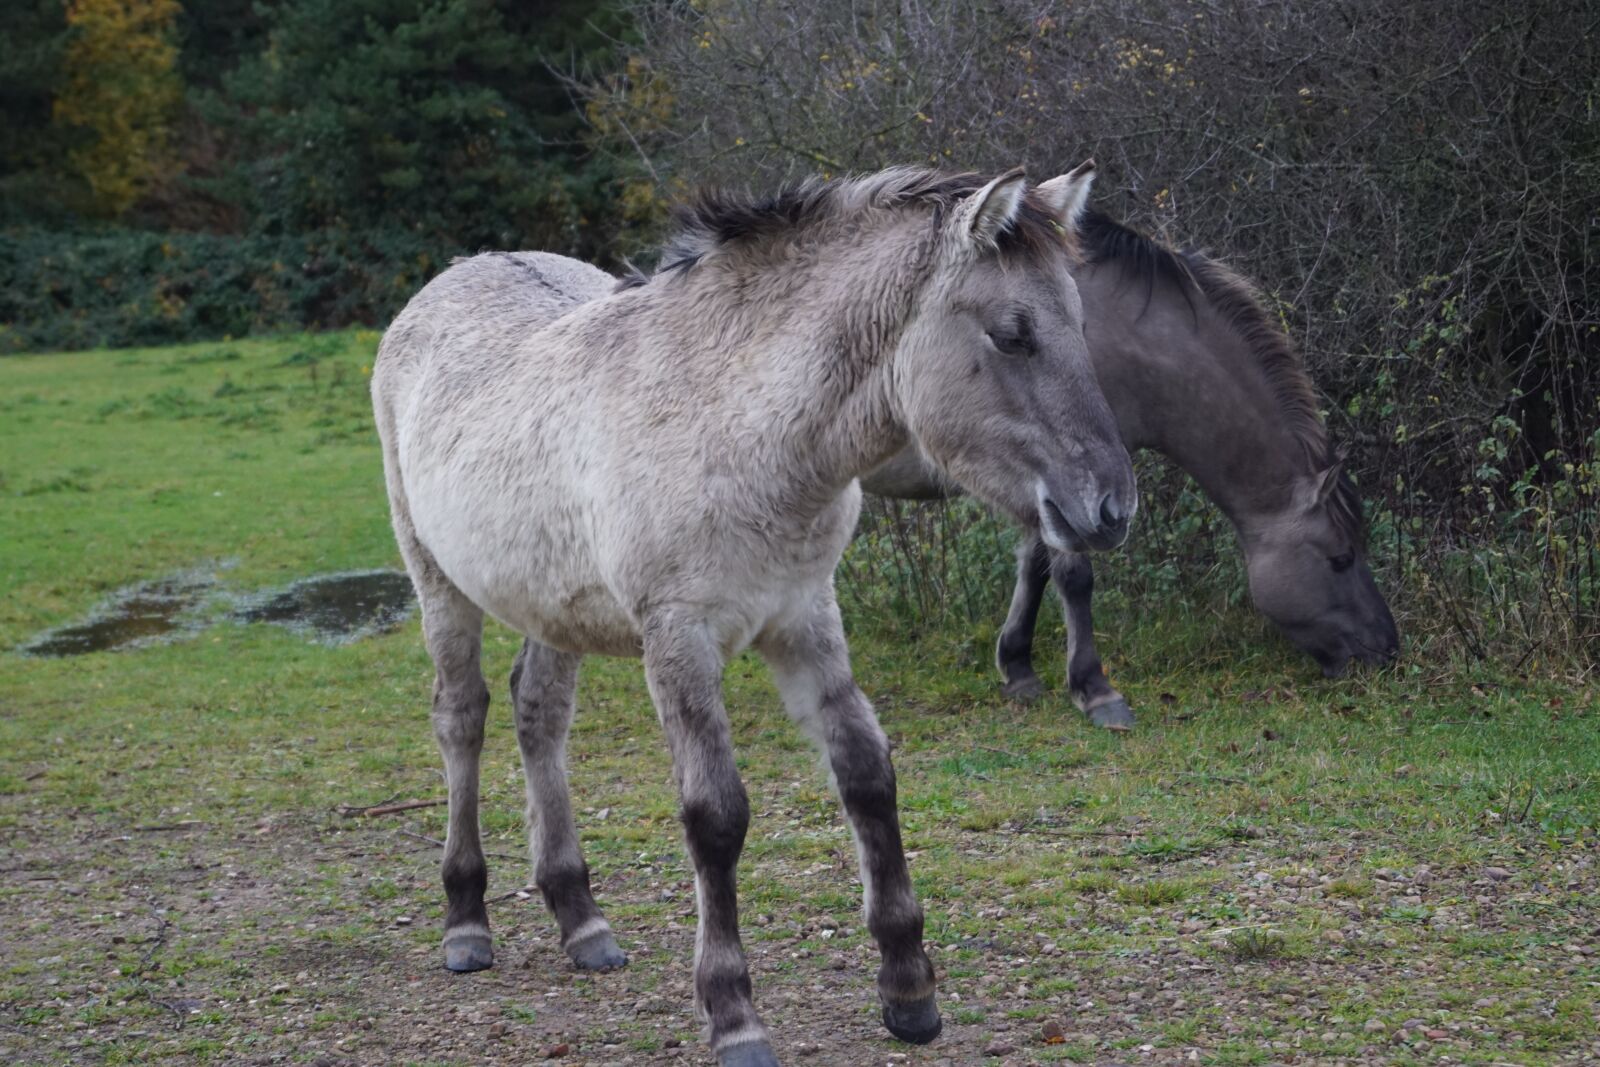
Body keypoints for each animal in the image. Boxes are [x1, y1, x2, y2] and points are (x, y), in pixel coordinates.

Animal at [371, 167, 1139, 1067]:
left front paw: (909, 990)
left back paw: (580, 916)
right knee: (462, 718)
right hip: (437, 581)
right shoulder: (679, 637)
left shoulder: (805, 615)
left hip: (549, 601)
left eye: (1079, 325)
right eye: (1012, 335)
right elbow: (717, 815)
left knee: (539, 714)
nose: (1111, 508)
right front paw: (733, 1012)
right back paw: (465, 919)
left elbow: (866, 775)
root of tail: (454, 275)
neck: (735, 423)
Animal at [864, 207, 1401, 729]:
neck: (1111, 343)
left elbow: (1035, 564)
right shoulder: (1072, 482)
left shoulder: (1055, 487)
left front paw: (1018, 667)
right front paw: (1094, 689)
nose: (1386, 650)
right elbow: (1073, 574)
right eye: (1340, 558)